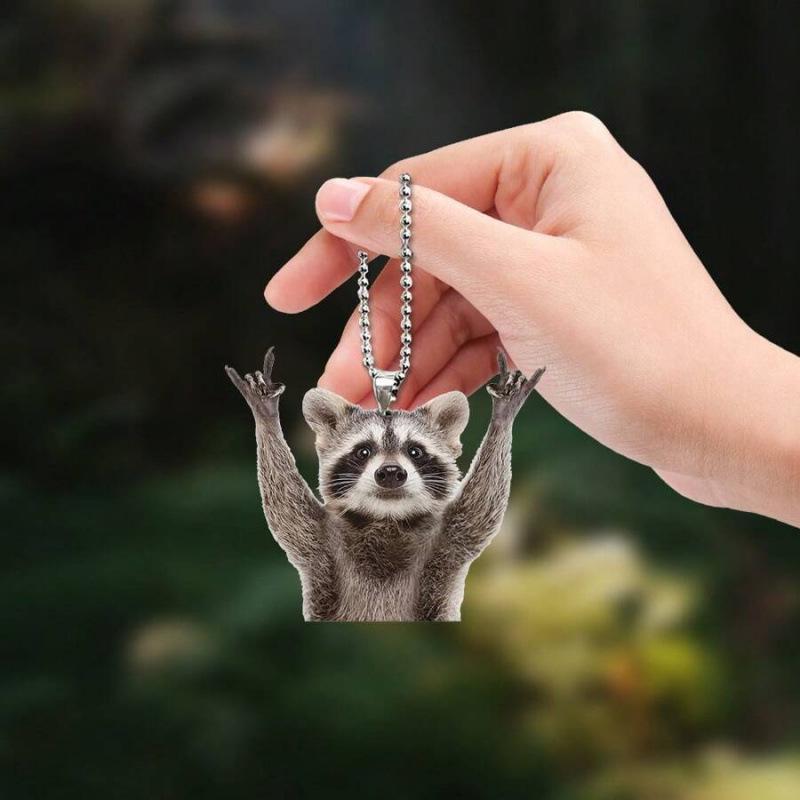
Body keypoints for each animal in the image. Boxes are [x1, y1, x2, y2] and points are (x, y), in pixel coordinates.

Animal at [226, 347, 544, 621]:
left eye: (414, 451)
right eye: (363, 451)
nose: (391, 472)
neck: (387, 517)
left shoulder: (449, 541)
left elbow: (482, 507)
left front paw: (502, 416)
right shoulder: (320, 542)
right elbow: (286, 509)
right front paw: (266, 417)